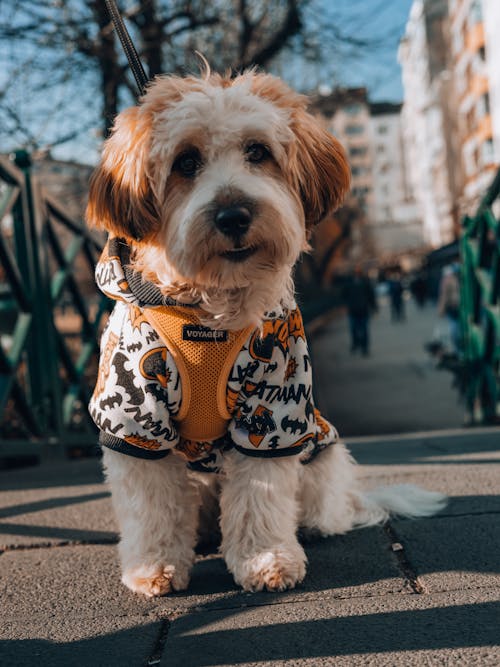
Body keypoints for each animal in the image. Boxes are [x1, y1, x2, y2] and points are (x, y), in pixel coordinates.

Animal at [85, 69, 446, 600]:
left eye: (257, 151)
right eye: (185, 161)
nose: (233, 215)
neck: (210, 314)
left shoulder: (272, 412)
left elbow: (260, 495)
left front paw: (266, 560)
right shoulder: (134, 422)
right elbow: (152, 507)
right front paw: (154, 567)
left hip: (320, 453)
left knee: (320, 506)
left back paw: (312, 525)